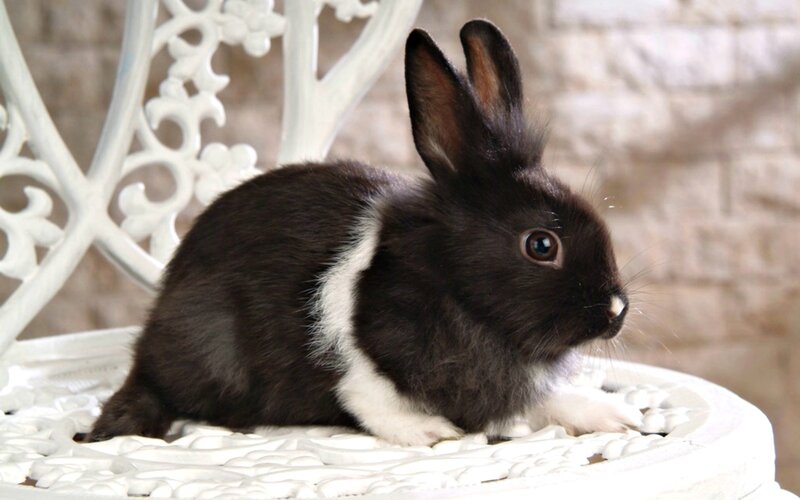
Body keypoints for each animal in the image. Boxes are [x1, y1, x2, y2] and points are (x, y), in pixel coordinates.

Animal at [88, 19, 641, 446]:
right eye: (541, 245)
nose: (616, 311)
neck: (456, 289)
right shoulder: (354, 360)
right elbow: (367, 398)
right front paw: (427, 431)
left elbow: (543, 399)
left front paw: (613, 415)